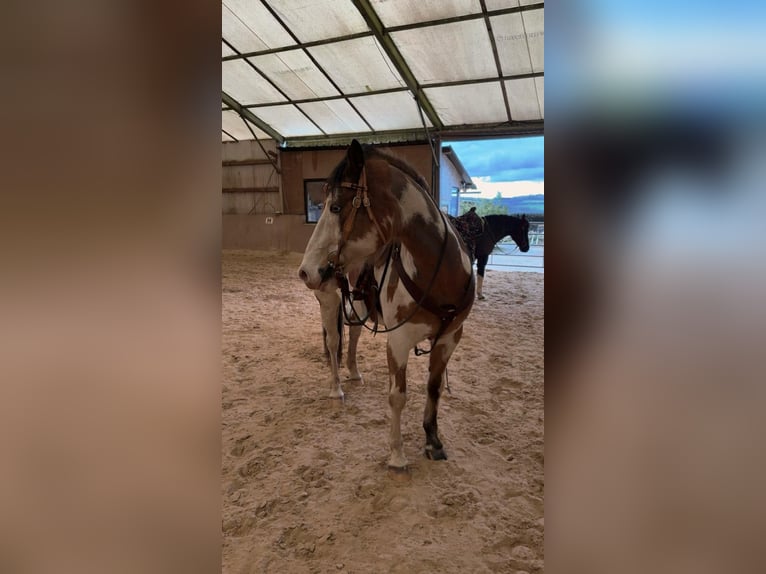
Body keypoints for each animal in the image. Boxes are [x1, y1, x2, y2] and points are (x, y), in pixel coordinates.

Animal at [298, 139, 475, 469]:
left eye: (336, 207)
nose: (306, 270)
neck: (440, 274)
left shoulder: (449, 338)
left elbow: (433, 388)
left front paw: (433, 442)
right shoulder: (398, 340)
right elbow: (398, 396)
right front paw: (397, 455)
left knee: (354, 334)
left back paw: (354, 373)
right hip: (328, 299)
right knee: (333, 343)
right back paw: (336, 388)